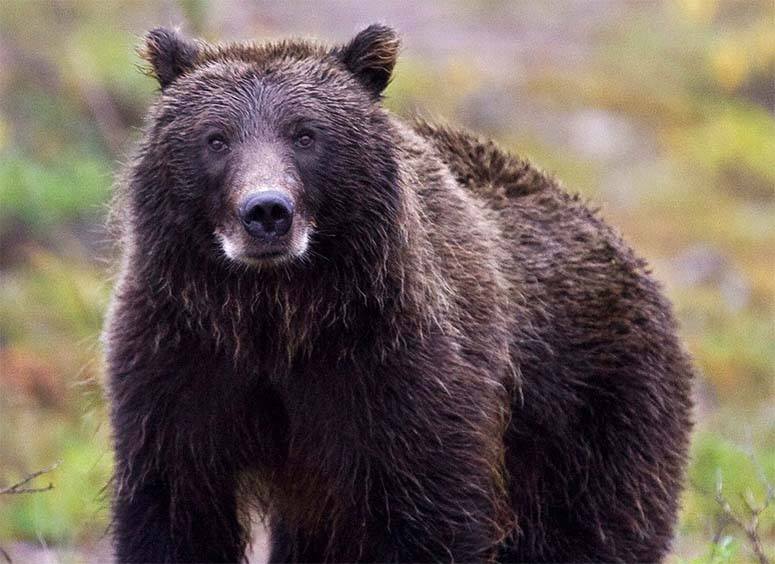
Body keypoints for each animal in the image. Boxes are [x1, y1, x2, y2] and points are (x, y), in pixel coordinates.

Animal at [104, 24, 696, 560]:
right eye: (216, 138)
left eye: (306, 135)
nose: (267, 211)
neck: (277, 316)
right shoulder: (182, 359)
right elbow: (175, 507)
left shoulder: (399, 371)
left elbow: (432, 515)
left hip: (590, 416)